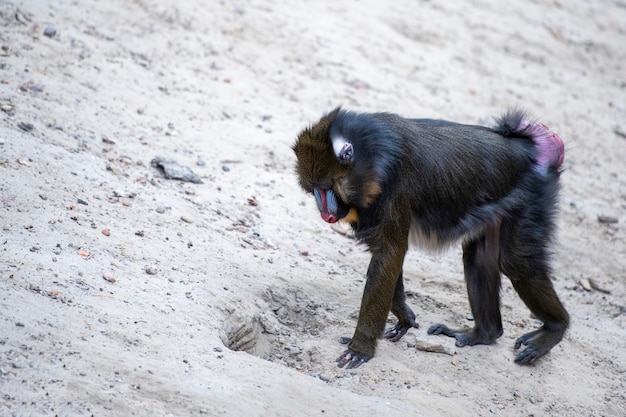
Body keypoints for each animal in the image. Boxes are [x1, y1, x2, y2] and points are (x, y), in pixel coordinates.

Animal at [290, 106, 568, 368]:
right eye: (314, 190)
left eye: (327, 187)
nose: (326, 213)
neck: (374, 151)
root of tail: (528, 146)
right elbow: (388, 258)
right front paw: (404, 317)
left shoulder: (396, 187)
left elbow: (390, 252)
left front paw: (360, 348)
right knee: (478, 259)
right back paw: (484, 334)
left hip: (532, 198)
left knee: (517, 263)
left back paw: (555, 328)